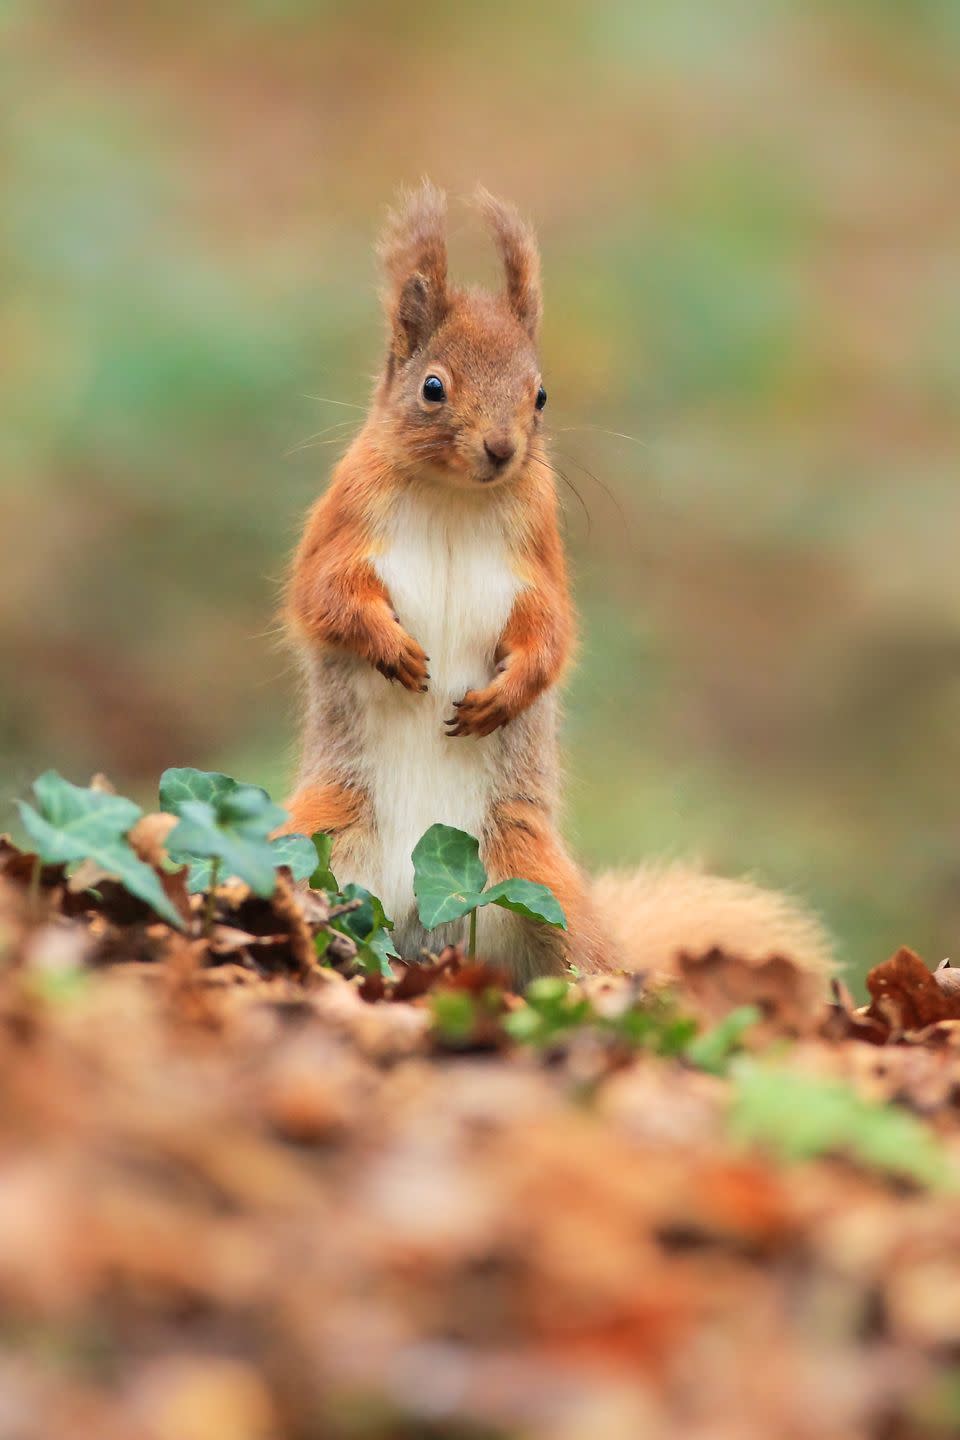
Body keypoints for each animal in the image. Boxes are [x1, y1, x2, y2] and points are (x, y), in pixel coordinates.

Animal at [279, 180, 834, 984]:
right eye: (432, 387)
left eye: (540, 396)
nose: (501, 448)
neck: (455, 496)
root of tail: (425, 924)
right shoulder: (343, 525)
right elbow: (320, 598)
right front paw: (392, 648)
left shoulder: (537, 557)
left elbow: (552, 634)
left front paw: (504, 696)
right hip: (314, 847)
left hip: (539, 886)